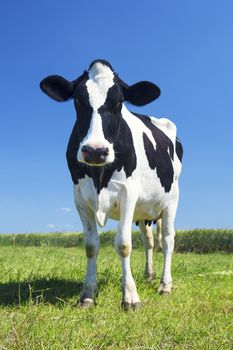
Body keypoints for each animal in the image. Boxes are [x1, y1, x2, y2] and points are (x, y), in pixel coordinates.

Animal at [40, 59, 183, 308]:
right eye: (78, 101)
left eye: (118, 102)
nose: (95, 150)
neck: (99, 175)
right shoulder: (79, 197)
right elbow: (90, 245)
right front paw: (87, 294)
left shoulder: (128, 193)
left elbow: (123, 244)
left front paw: (130, 297)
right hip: (144, 211)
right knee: (149, 240)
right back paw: (149, 274)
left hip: (172, 200)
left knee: (167, 239)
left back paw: (165, 285)